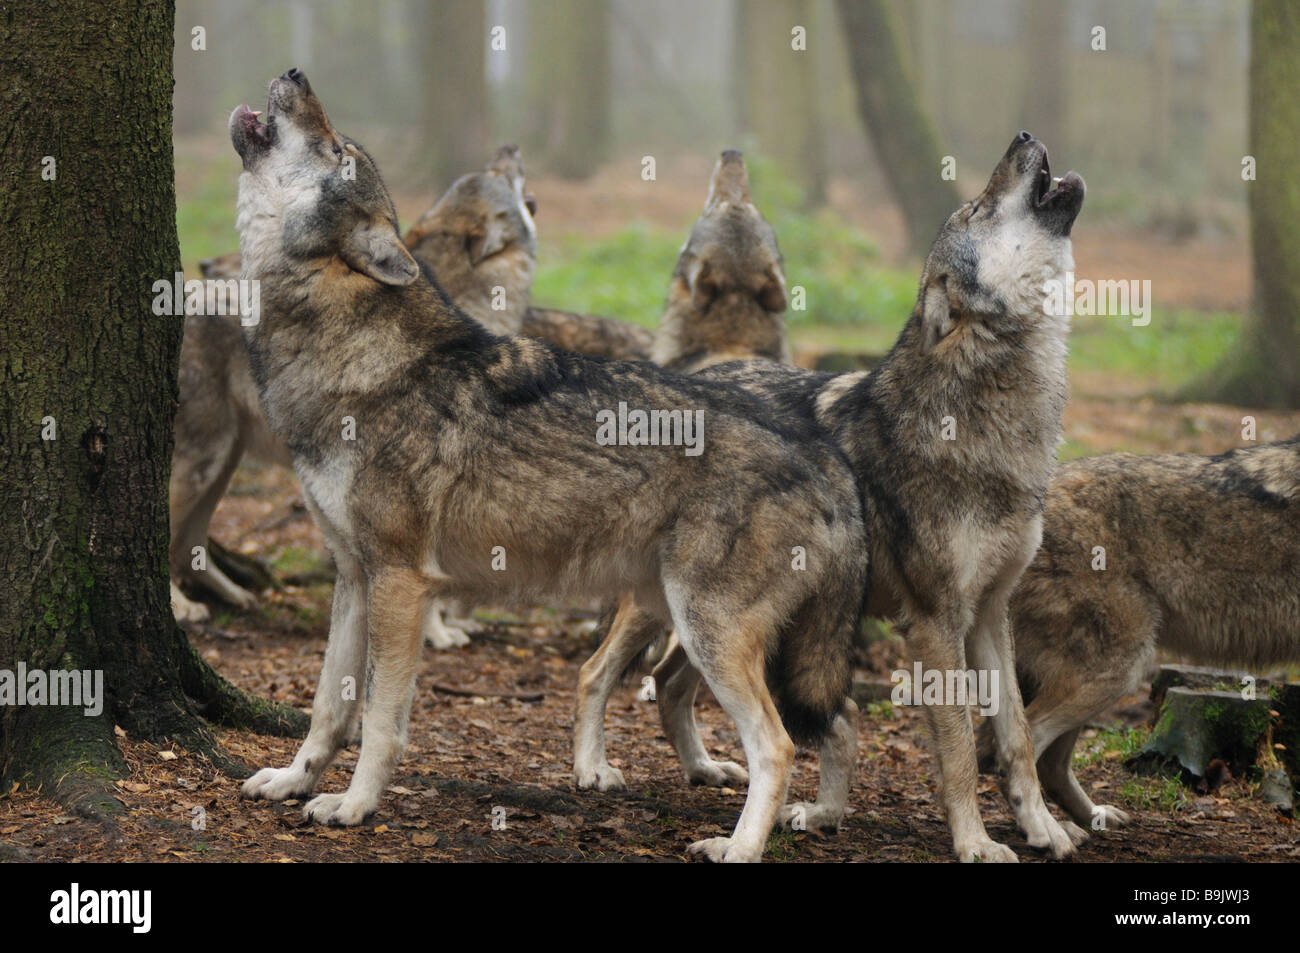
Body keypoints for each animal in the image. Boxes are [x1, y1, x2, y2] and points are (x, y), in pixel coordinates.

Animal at [230, 72, 868, 863]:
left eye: (337, 150)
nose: (295, 76)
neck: (347, 349)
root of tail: (824, 450)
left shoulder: (401, 582)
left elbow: (378, 718)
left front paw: (353, 805)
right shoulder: (353, 577)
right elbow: (324, 707)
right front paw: (294, 781)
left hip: (713, 633)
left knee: (777, 745)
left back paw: (740, 846)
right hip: (703, 623)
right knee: (831, 719)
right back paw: (817, 815)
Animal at [585, 131, 1081, 863]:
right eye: (978, 208)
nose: (1022, 135)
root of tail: (704, 366)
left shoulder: (992, 611)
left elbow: (1015, 737)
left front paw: (1042, 827)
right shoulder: (937, 622)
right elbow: (961, 748)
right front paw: (975, 841)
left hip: (727, 619)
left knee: (675, 684)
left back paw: (720, 776)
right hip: (675, 606)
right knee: (599, 672)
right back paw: (592, 769)